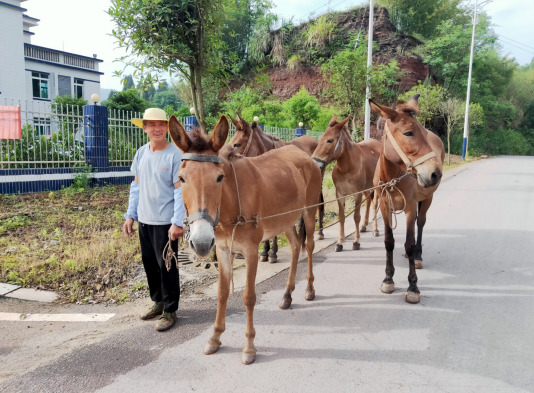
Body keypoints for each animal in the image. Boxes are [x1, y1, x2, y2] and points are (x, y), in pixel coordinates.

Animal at [312, 115, 384, 251]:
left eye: (330, 140)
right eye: (320, 138)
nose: (315, 163)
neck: (347, 167)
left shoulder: (357, 194)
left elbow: (356, 217)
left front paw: (356, 242)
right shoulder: (340, 194)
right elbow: (341, 217)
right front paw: (340, 242)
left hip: (377, 186)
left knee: (375, 204)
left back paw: (375, 229)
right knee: (368, 201)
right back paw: (364, 226)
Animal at [370, 95, 446, 304]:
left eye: (423, 133)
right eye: (408, 133)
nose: (435, 173)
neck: (393, 177)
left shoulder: (411, 208)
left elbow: (410, 243)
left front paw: (413, 287)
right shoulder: (384, 207)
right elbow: (389, 241)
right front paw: (388, 279)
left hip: (427, 199)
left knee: (420, 224)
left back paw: (418, 257)